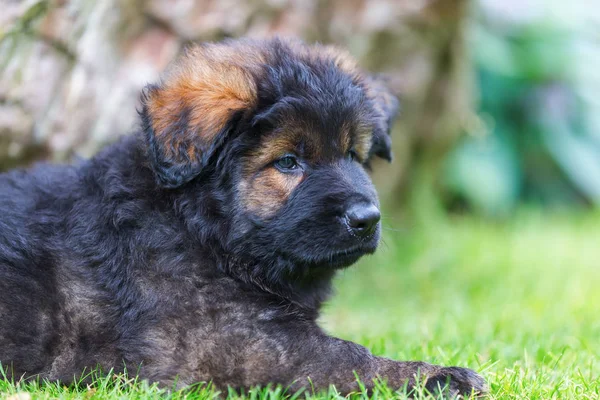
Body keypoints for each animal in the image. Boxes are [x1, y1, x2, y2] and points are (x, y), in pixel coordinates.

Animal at [0, 38, 488, 396]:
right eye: (288, 162)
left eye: (353, 154)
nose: (367, 218)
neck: (197, 226)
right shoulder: (235, 342)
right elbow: (348, 358)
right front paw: (438, 376)